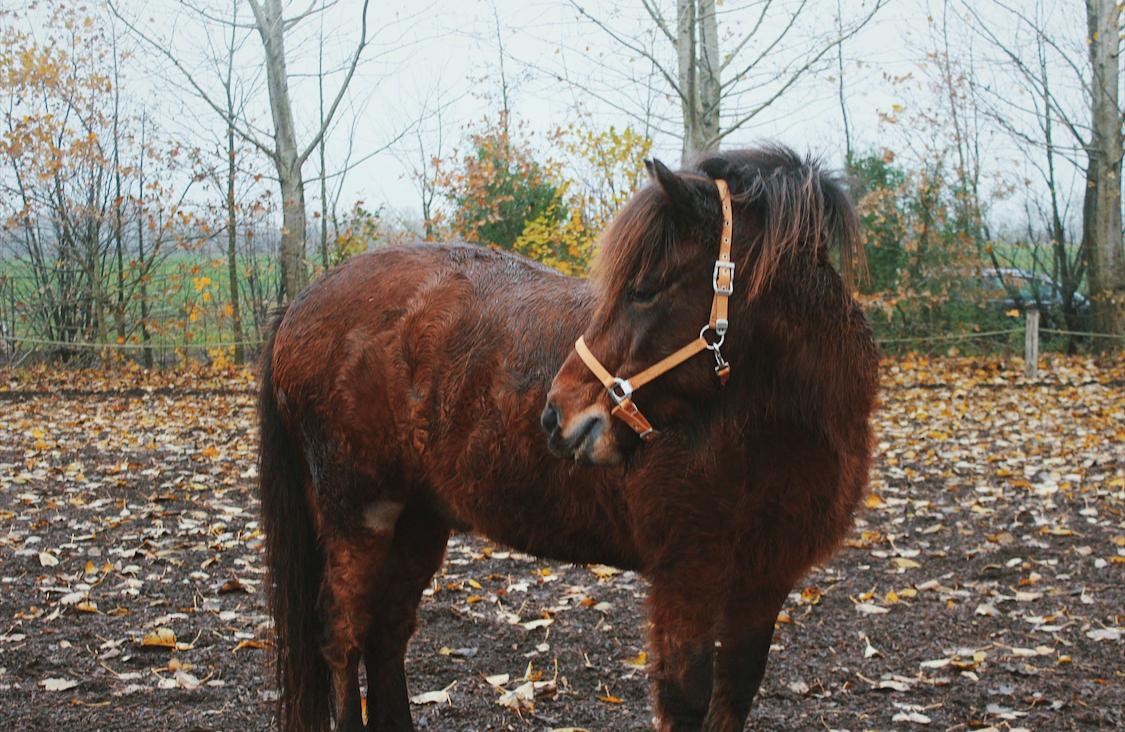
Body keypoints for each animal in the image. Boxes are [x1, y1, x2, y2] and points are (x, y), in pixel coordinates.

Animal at [257, 146, 877, 728]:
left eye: (645, 289)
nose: (558, 416)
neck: (768, 433)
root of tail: (301, 304)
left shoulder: (763, 582)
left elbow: (735, 694)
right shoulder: (687, 577)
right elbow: (687, 701)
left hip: (418, 520)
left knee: (387, 633)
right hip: (358, 517)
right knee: (342, 637)